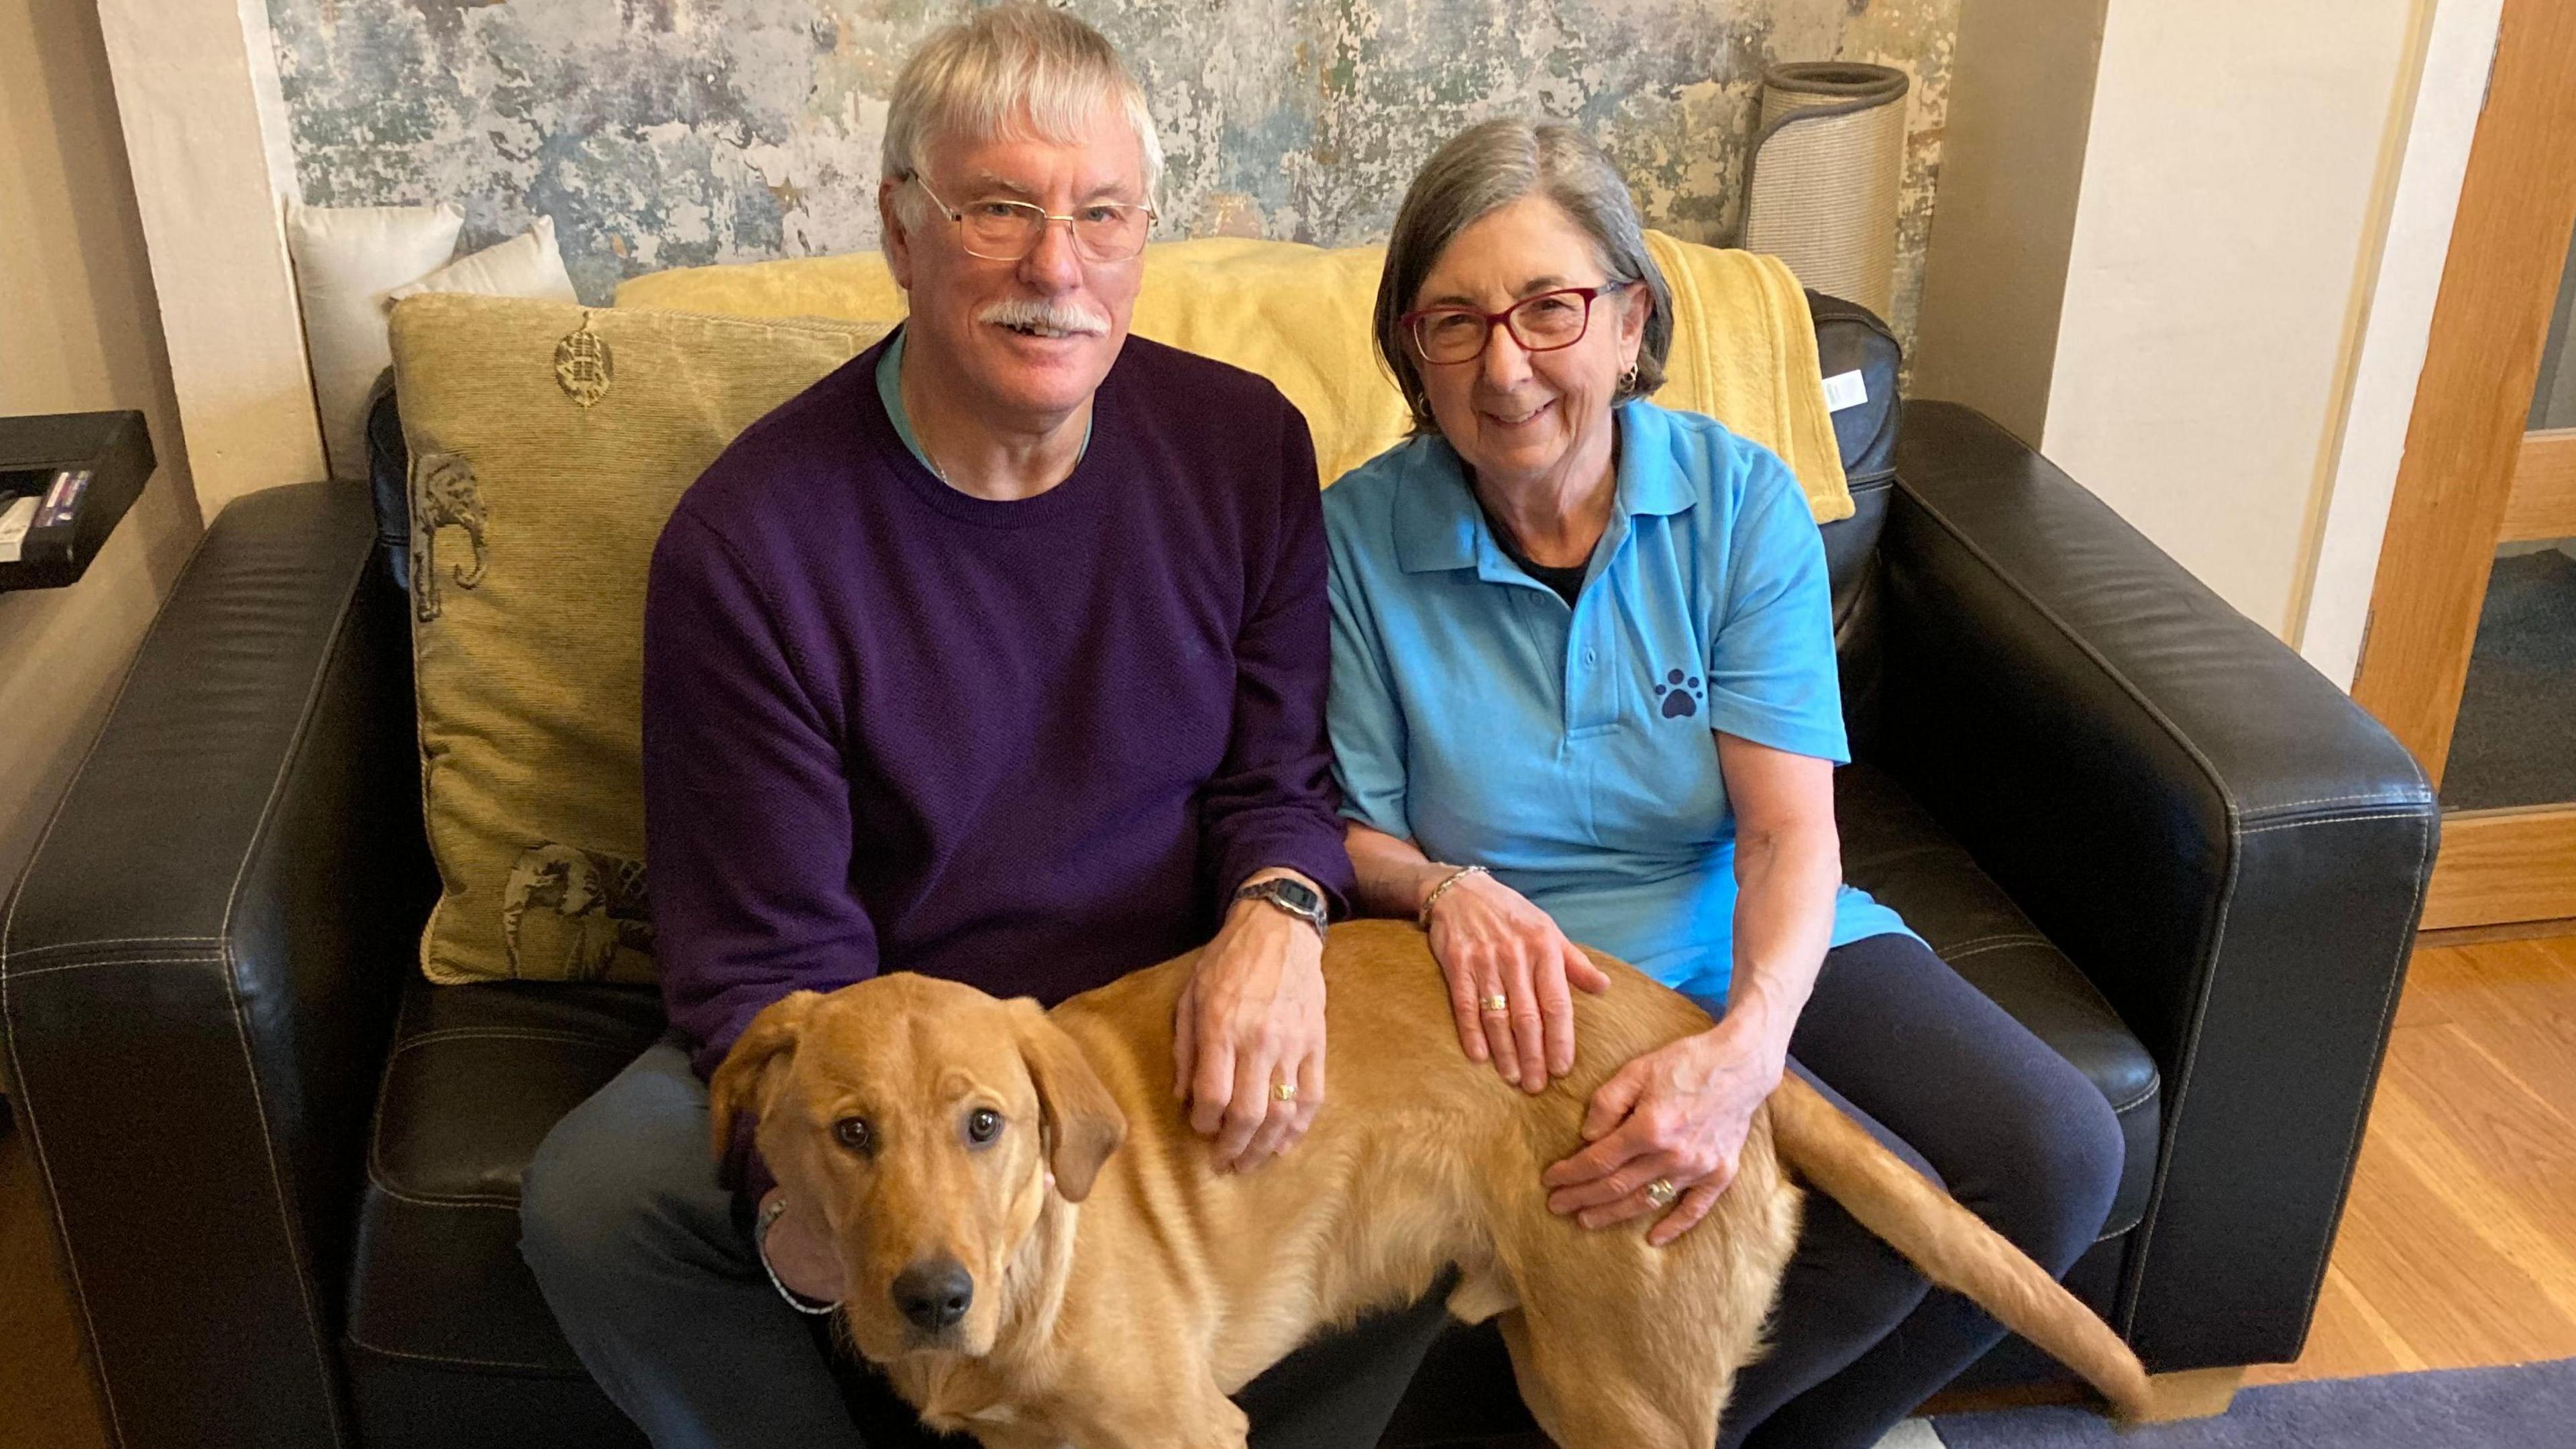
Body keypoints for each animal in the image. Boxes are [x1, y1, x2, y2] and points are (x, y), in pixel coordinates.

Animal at [716, 918, 2163, 1433]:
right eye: (850, 1134)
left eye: (985, 1126)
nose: (932, 1299)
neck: (1030, 1263)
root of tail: (1694, 1036)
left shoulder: (1186, 1433)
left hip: (1620, 1393)